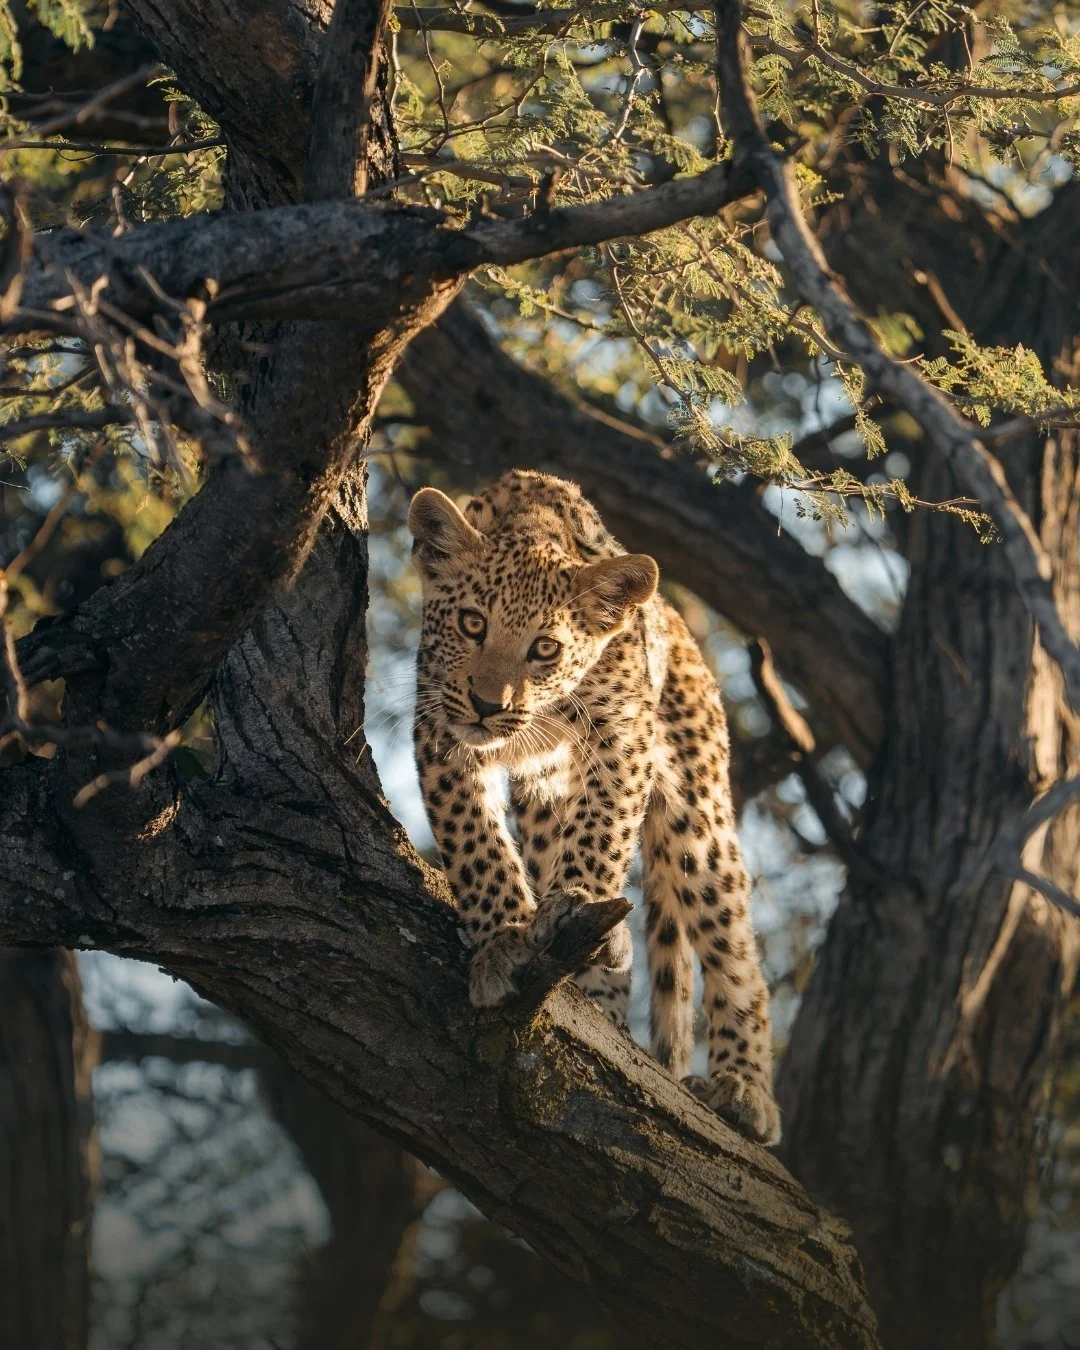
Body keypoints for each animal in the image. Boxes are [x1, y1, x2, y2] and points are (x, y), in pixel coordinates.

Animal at [407, 468, 780, 1145]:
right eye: (472, 624)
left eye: (545, 649)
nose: (488, 705)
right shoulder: (440, 728)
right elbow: (475, 843)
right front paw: (504, 941)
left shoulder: (622, 734)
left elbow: (602, 825)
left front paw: (574, 899)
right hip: (543, 800)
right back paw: (602, 1001)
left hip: (699, 817)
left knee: (732, 939)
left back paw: (744, 1087)